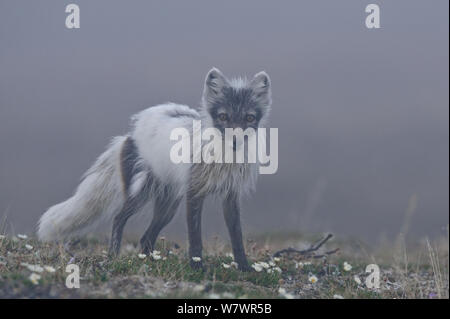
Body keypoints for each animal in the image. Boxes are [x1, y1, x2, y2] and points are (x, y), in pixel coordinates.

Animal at [37, 67, 270, 270]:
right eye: (223, 117)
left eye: (249, 118)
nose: (235, 141)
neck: (224, 160)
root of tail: (129, 135)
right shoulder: (194, 194)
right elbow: (195, 237)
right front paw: (196, 267)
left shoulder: (231, 196)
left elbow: (237, 237)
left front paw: (244, 268)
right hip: (140, 194)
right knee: (119, 219)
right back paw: (114, 255)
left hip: (168, 207)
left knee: (146, 238)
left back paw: (149, 261)